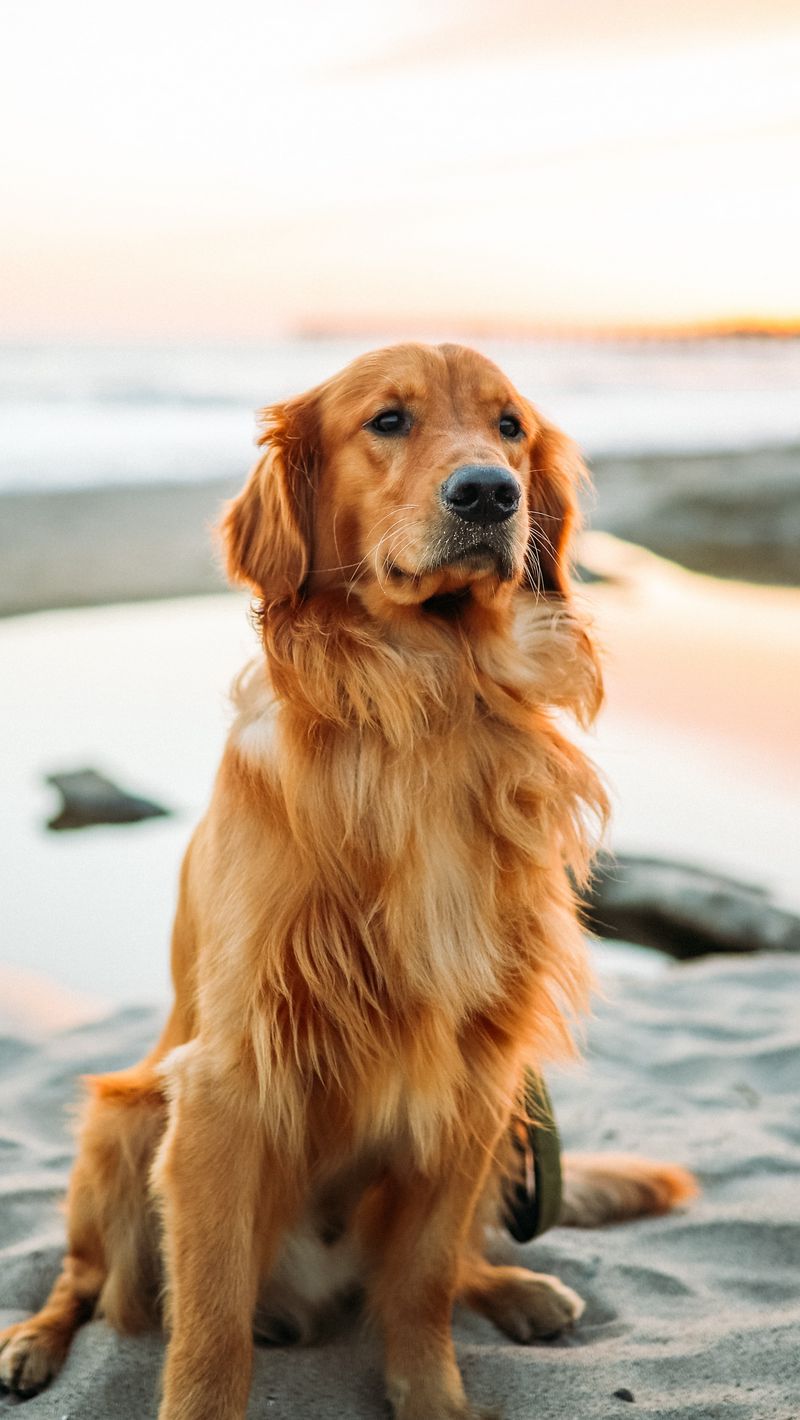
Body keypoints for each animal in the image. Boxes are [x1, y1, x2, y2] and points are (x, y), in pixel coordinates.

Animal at [0, 346, 696, 1420]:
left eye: (509, 428)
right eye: (389, 420)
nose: (490, 493)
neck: (430, 700)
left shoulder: (477, 1072)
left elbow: (421, 1284)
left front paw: (436, 1398)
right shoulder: (226, 1082)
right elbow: (208, 1328)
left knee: (447, 1264)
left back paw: (519, 1287)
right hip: (121, 1124)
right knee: (81, 1280)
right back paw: (32, 1344)